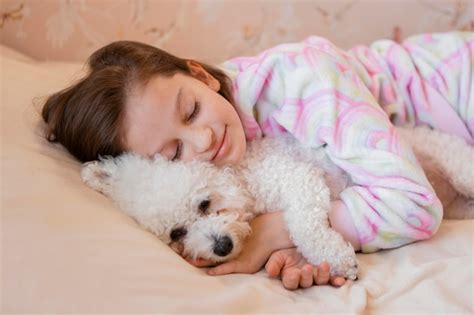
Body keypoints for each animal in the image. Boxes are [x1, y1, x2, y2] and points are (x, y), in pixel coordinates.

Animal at [81, 128, 474, 282]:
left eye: (205, 204)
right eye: (177, 233)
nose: (221, 246)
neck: (243, 178)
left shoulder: (299, 180)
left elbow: (306, 226)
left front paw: (339, 260)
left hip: (458, 167)